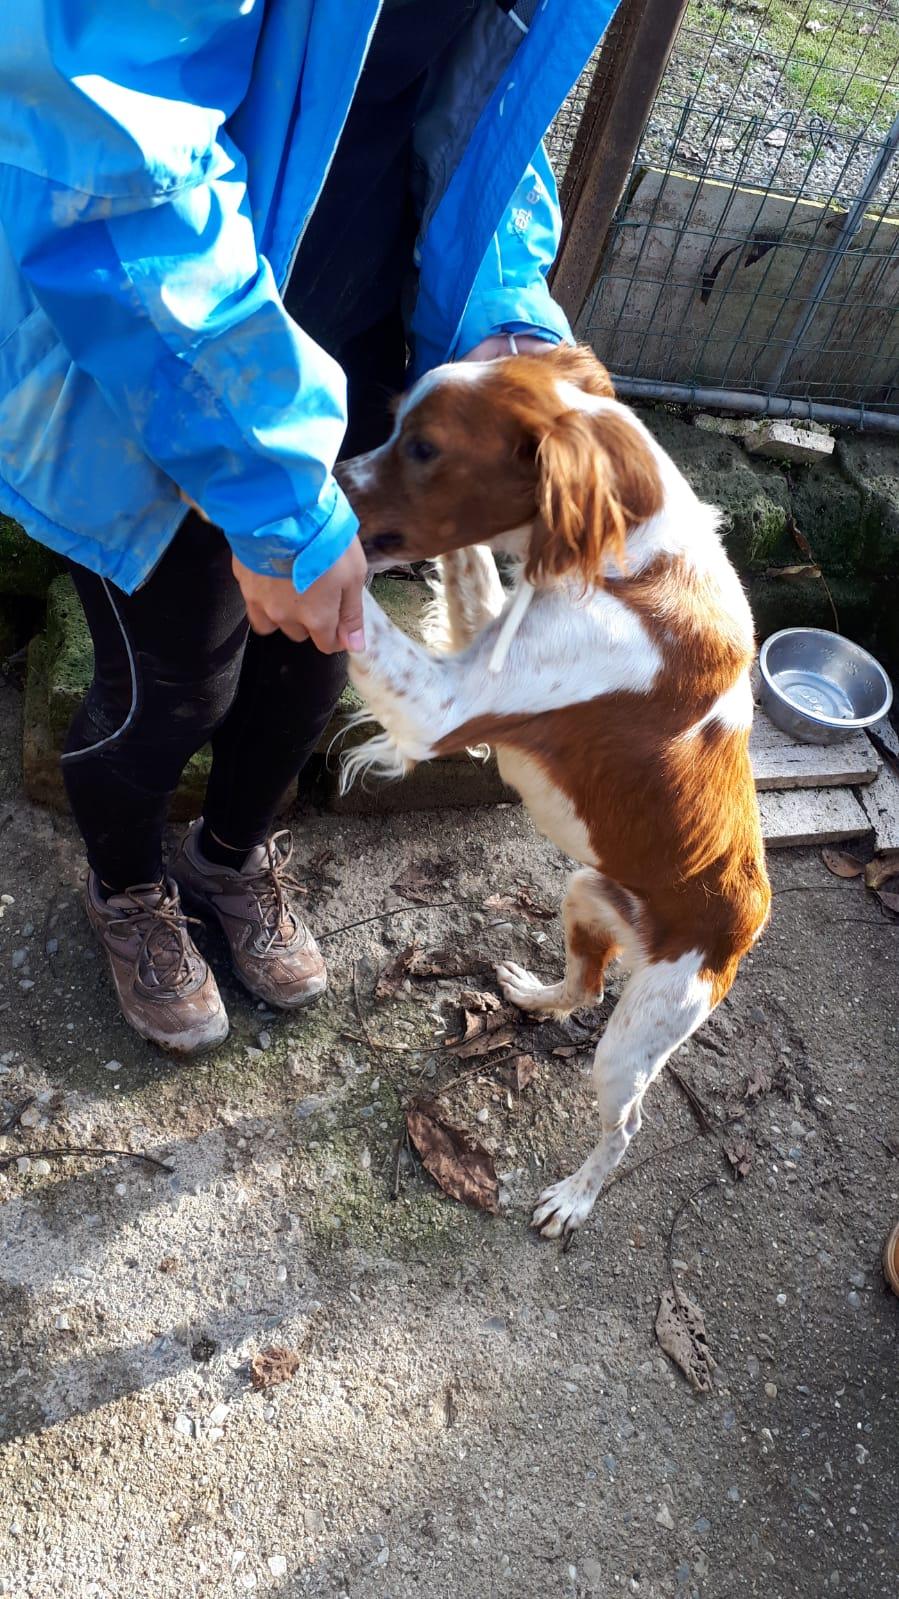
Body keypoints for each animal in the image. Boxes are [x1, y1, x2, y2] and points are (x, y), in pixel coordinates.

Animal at [335, 344, 770, 1239]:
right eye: (395, 424)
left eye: (423, 448)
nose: (330, 471)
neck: (631, 558)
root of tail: (752, 916)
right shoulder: (484, 642)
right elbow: (467, 568)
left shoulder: (445, 705)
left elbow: (361, 601)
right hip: (584, 893)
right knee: (585, 984)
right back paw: (532, 993)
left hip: (639, 1035)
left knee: (625, 1121)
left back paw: (574, 1197)